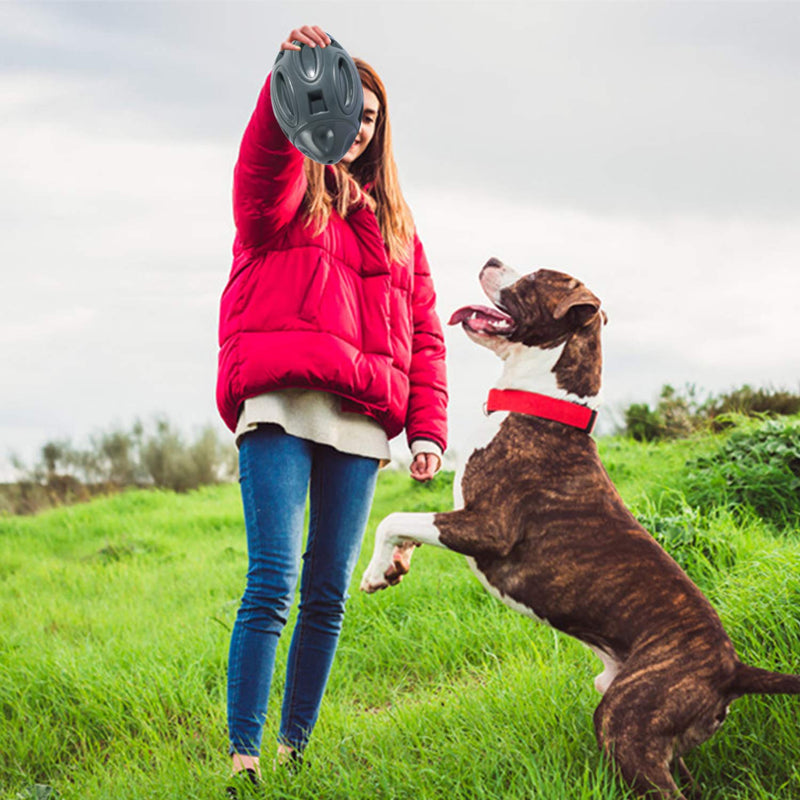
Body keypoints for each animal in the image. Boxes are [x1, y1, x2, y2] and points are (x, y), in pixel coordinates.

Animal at [360, 260, 800, 796]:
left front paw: (374, 572)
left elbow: (394, 518)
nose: (491, 260)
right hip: (656, 728)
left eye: (532, 279)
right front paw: (393, 567)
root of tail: (734, 670)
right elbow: (406, 527)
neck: (540, 402)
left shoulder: (487, 526)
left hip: (626, 721)